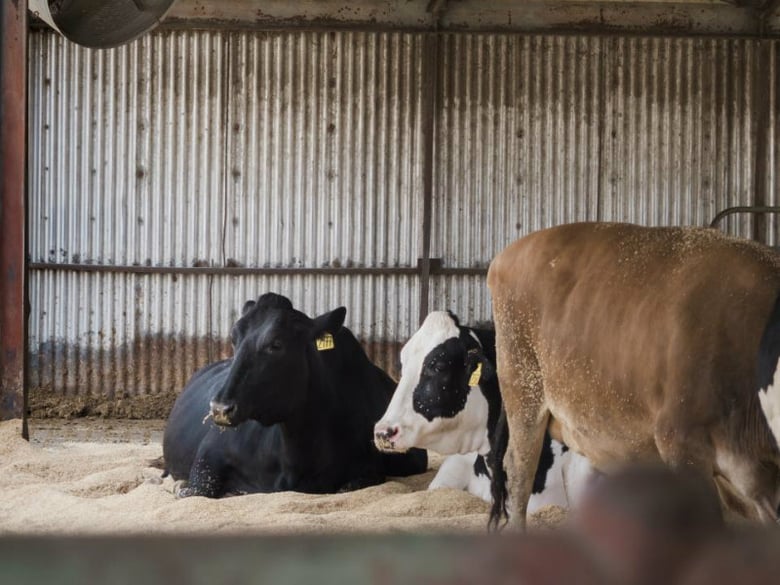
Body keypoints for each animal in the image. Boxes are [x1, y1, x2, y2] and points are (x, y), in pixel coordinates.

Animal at [162, 292, 427, 498]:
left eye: (276, 344)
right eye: (234, 339)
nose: (220, 408)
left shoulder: (369, 469)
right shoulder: (210, 452)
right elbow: (196, 489)